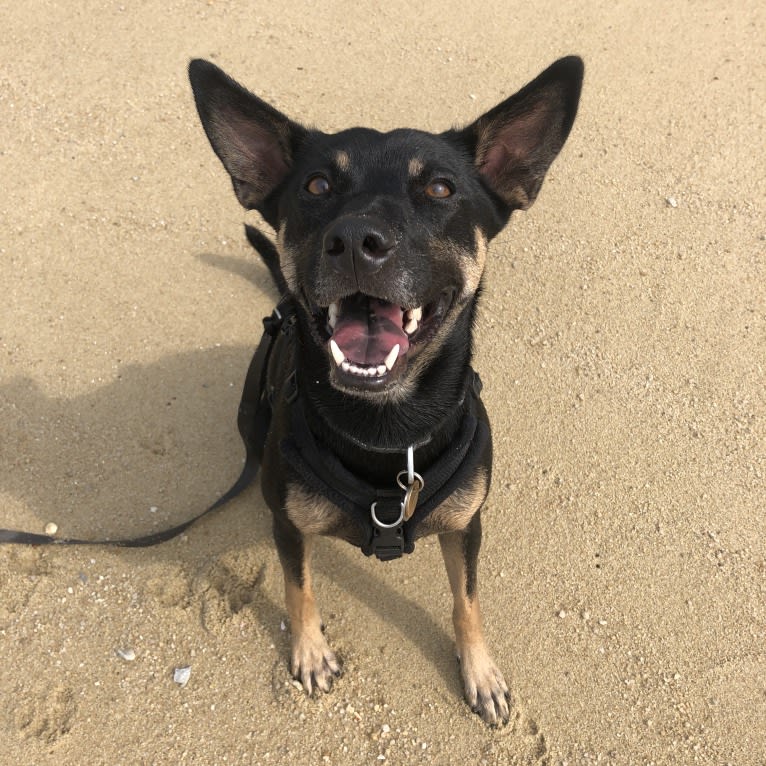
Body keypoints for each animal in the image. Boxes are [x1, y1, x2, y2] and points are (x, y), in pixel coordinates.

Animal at [189, 55, 584, 728]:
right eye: (316, 186)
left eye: (441, 189)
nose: (354, 241)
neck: (388, 427)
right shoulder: (292, 528)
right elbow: (298, 587)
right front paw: (309, 651)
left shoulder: (466, 525)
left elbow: (466, 601)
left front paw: (480, 671)